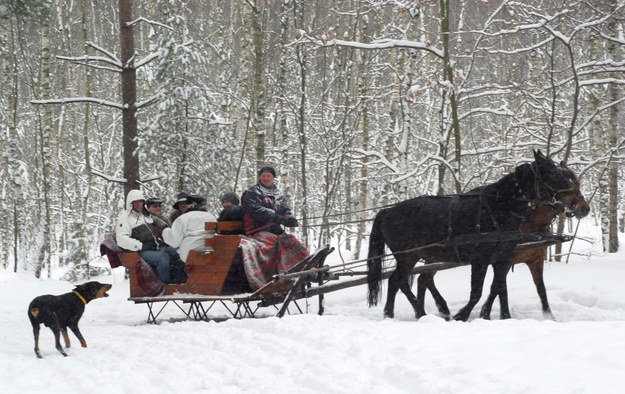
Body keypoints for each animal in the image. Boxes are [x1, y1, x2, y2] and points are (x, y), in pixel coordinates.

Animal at [368, 150, 576, 320]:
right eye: (552, 173)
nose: (574, 202)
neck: (497, 208)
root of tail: (386, 211)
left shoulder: (502, 259)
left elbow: (500, 288)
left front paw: (504, 317)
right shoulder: (480, 259)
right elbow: (478, 292)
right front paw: (462, 315)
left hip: (415, 256)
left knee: (400, 281)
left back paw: (398, 313)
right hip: (407, 255)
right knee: (399, 281)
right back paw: (416, 312)